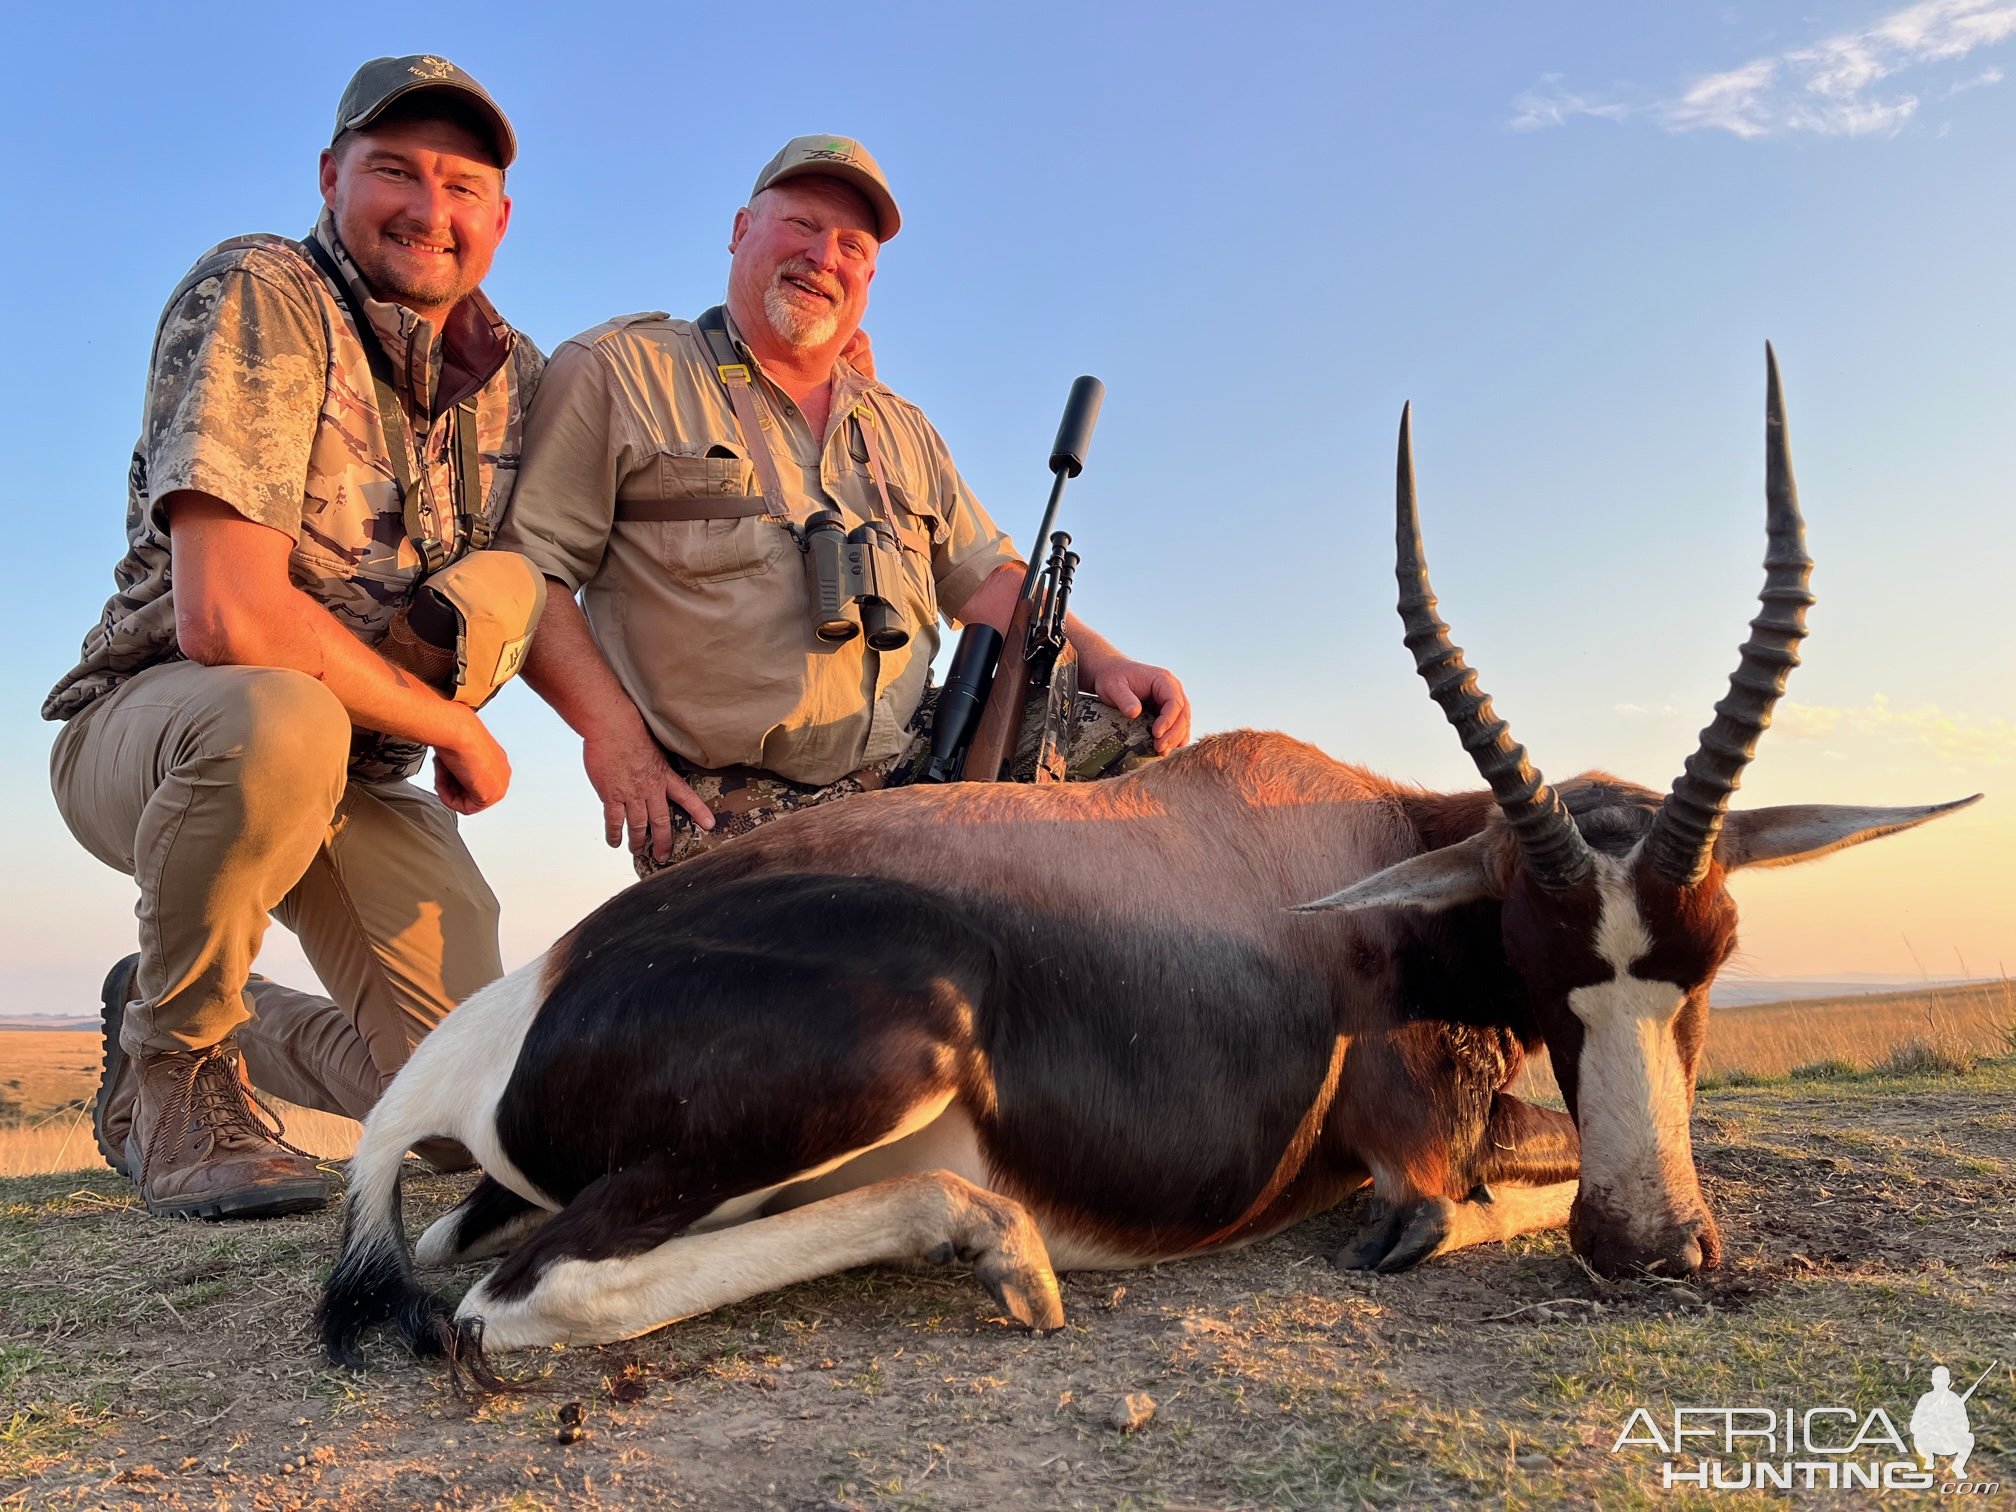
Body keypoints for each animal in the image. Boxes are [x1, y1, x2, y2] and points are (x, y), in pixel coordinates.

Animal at [322, 348, 1975, 1370]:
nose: (1652, 1247)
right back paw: (998, 1246)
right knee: (523, 1296)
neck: (1364, 836)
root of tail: (517, 1005)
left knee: (477, 1242)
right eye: (1534, 945)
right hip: (868, 1065)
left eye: (1712, 956)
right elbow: (1448, 1207)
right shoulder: (1411, 1155)